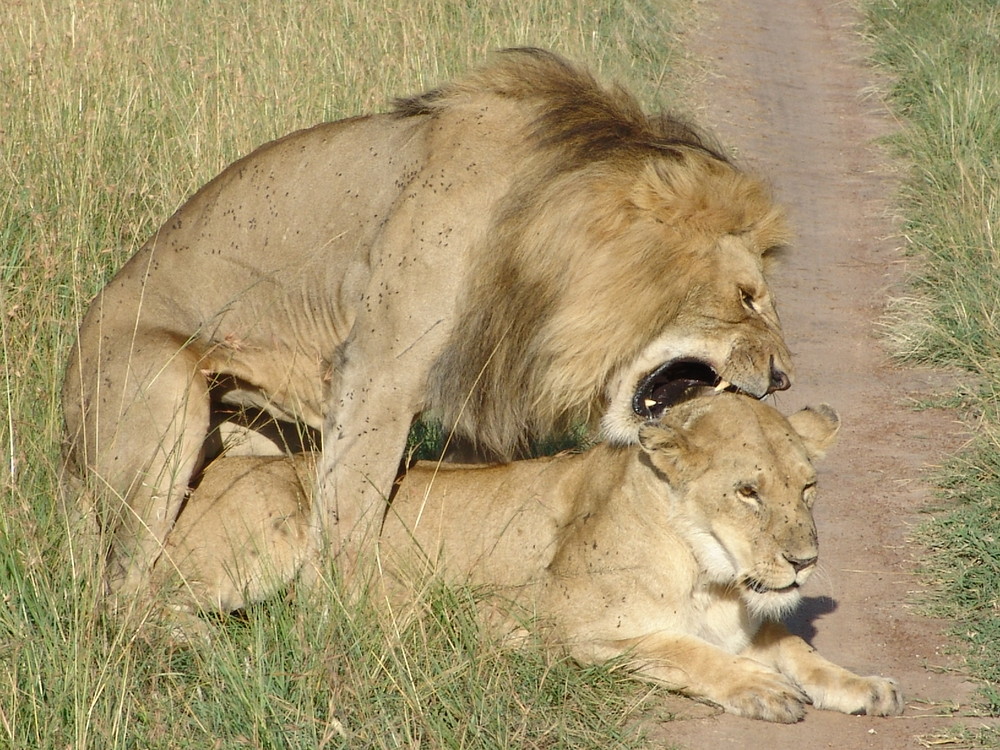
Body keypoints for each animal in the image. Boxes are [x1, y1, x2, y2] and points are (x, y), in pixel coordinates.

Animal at [66, 47, 792, 608]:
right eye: (748, 298)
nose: (784, 377)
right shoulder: (378, 373)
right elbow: (351, 509)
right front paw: (338, 623)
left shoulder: (473, 386)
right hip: (164, 400)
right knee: (122, 588)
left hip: (255, 436)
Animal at [158, 396, 908, 724]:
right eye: (747, 491)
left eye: (806, 487)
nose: (805, 560)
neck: (714, 578)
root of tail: (212, 466)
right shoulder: (574, 629)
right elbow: (688, 651)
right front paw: (762, 689)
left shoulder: (748, 619)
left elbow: (796, 648)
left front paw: (864, 685)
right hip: (272, 524)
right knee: (146, 605)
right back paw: (222, 644)